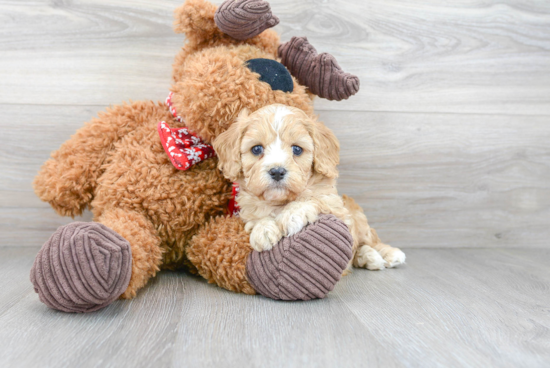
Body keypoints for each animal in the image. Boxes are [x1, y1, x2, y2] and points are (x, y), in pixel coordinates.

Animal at [213, 103, 408, 270]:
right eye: (256, 149)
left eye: (297, 149)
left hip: (359, 219)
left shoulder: (336, 208)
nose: (277, 171)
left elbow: (312, 199)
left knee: (370, 239)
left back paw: (386, 254)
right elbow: (257, 216)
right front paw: (263, 230)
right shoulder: (247, 209)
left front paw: (290, 216)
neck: (280, 202)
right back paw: (368, 257)